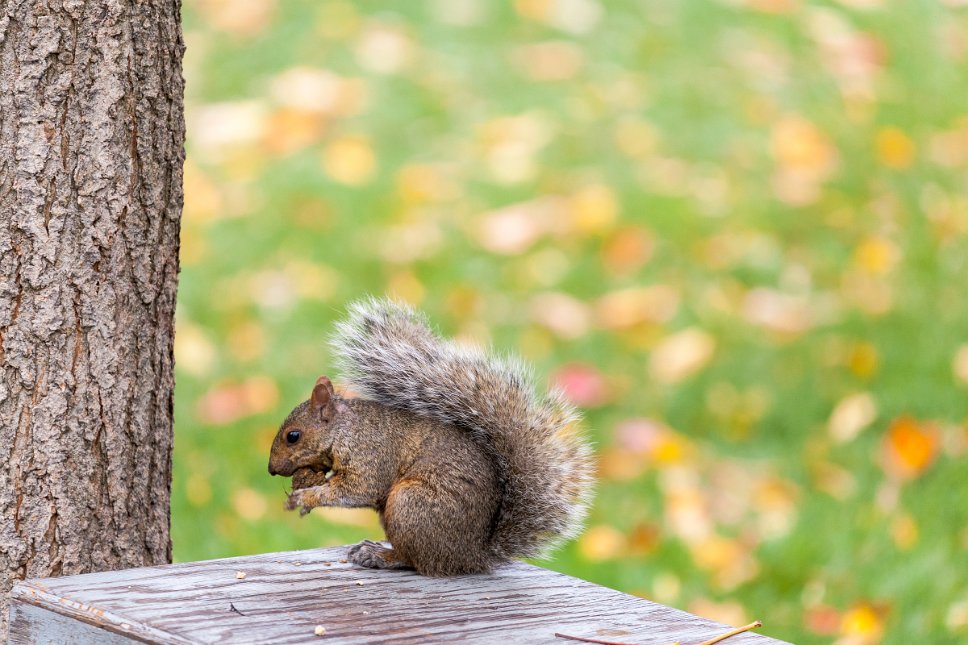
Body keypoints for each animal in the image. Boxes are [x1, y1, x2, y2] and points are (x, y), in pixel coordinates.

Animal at [268, 300, 592, 576]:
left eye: (293, 436)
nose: (271, 470)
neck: (346, 428)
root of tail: (472, 555)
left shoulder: (370, 453)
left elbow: (359, 489)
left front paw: (306, 496)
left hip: (411, 505)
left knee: (414, 559)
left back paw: (379, 555)